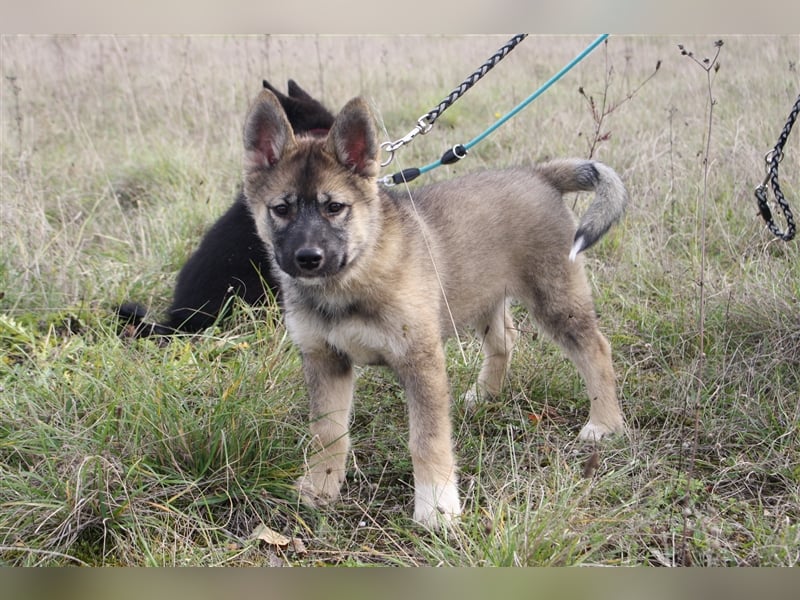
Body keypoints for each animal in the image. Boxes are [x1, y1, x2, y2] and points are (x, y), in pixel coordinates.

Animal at [241, 89, 628, 524]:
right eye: (281, 209)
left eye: (334, 207)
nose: (308, 258)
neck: (351, 277)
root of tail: (539, 175)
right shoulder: (325, 360)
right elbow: (327, 433)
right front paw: (320, 488)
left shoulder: (420, 361)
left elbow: (426, 440)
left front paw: (437, 507)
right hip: (483, 296)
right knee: (505, 342)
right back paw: (485, 394)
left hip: (556, 300)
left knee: (596, 349)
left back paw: (604, 422)